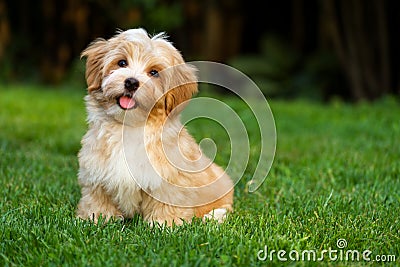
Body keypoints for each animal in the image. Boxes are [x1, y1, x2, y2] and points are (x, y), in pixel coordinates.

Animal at [76, 28, 233, 226]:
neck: (130, 127)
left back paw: (213, 216)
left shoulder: (169, 179)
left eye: (154, 72)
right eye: (122, 62)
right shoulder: (96, 171)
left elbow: (166, 201)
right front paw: (95, 218)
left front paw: (164, 224)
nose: (131, 82)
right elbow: (97, 198)